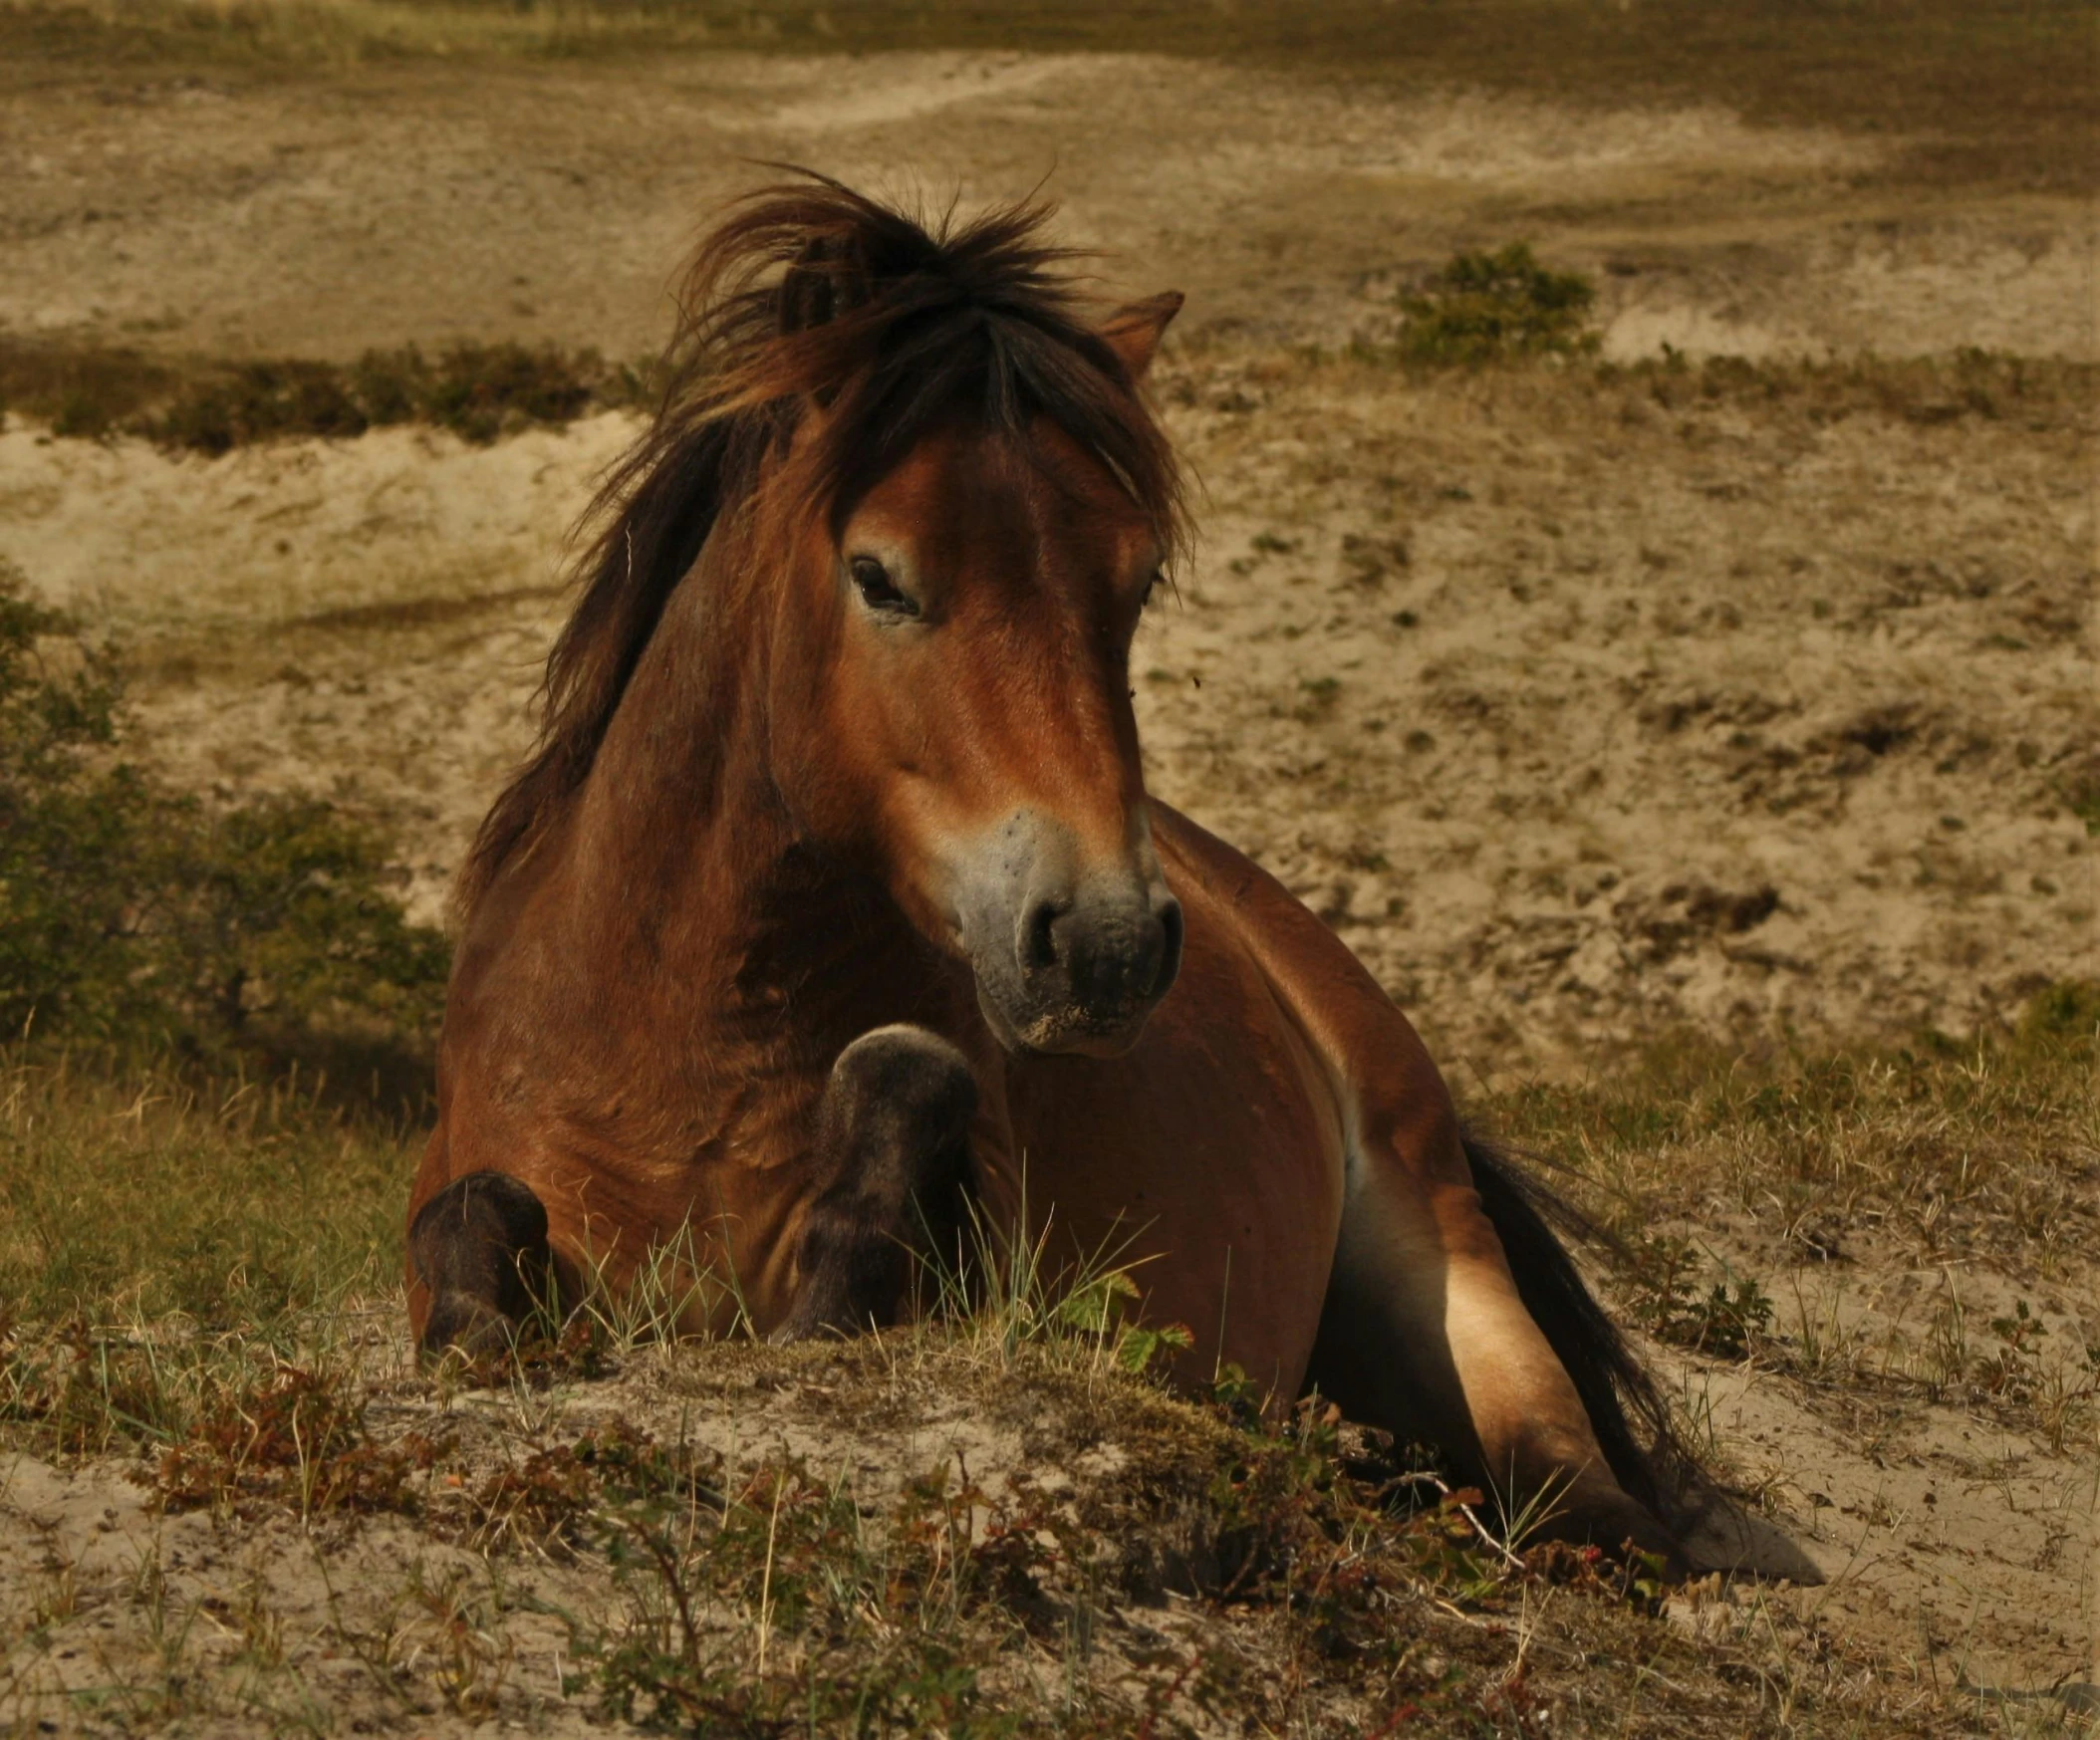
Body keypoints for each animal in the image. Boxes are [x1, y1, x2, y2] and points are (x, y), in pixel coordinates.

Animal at [404, 172, 1688, 1561]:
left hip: (1440, 1259)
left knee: (1579, 1499)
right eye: (877, 575)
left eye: (1134, 582)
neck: (686, 1052)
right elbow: (469, 1219)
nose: (1105, 947)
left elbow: (903, 1095)